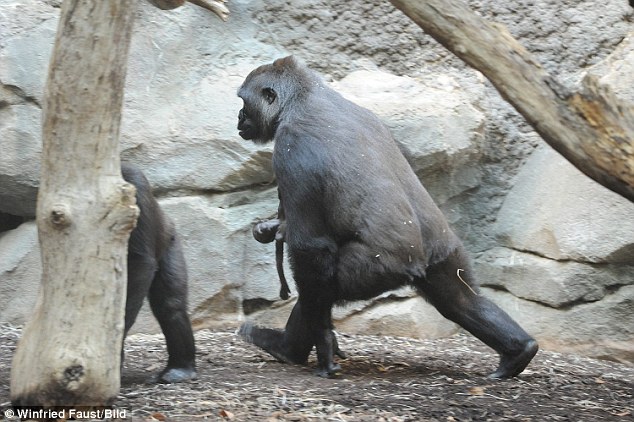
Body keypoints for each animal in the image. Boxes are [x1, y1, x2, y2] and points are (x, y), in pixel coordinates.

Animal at [235, 55, 536, 380]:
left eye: (244, 102)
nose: (238, 118)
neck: (302, 98)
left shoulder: (292, 149)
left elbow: (310, 246)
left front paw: (324, 345)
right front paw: (270, 228)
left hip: (378, 267)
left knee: (316, 287)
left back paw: (287, 348)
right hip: (443, 254)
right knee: (460, 300)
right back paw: (519, 351)